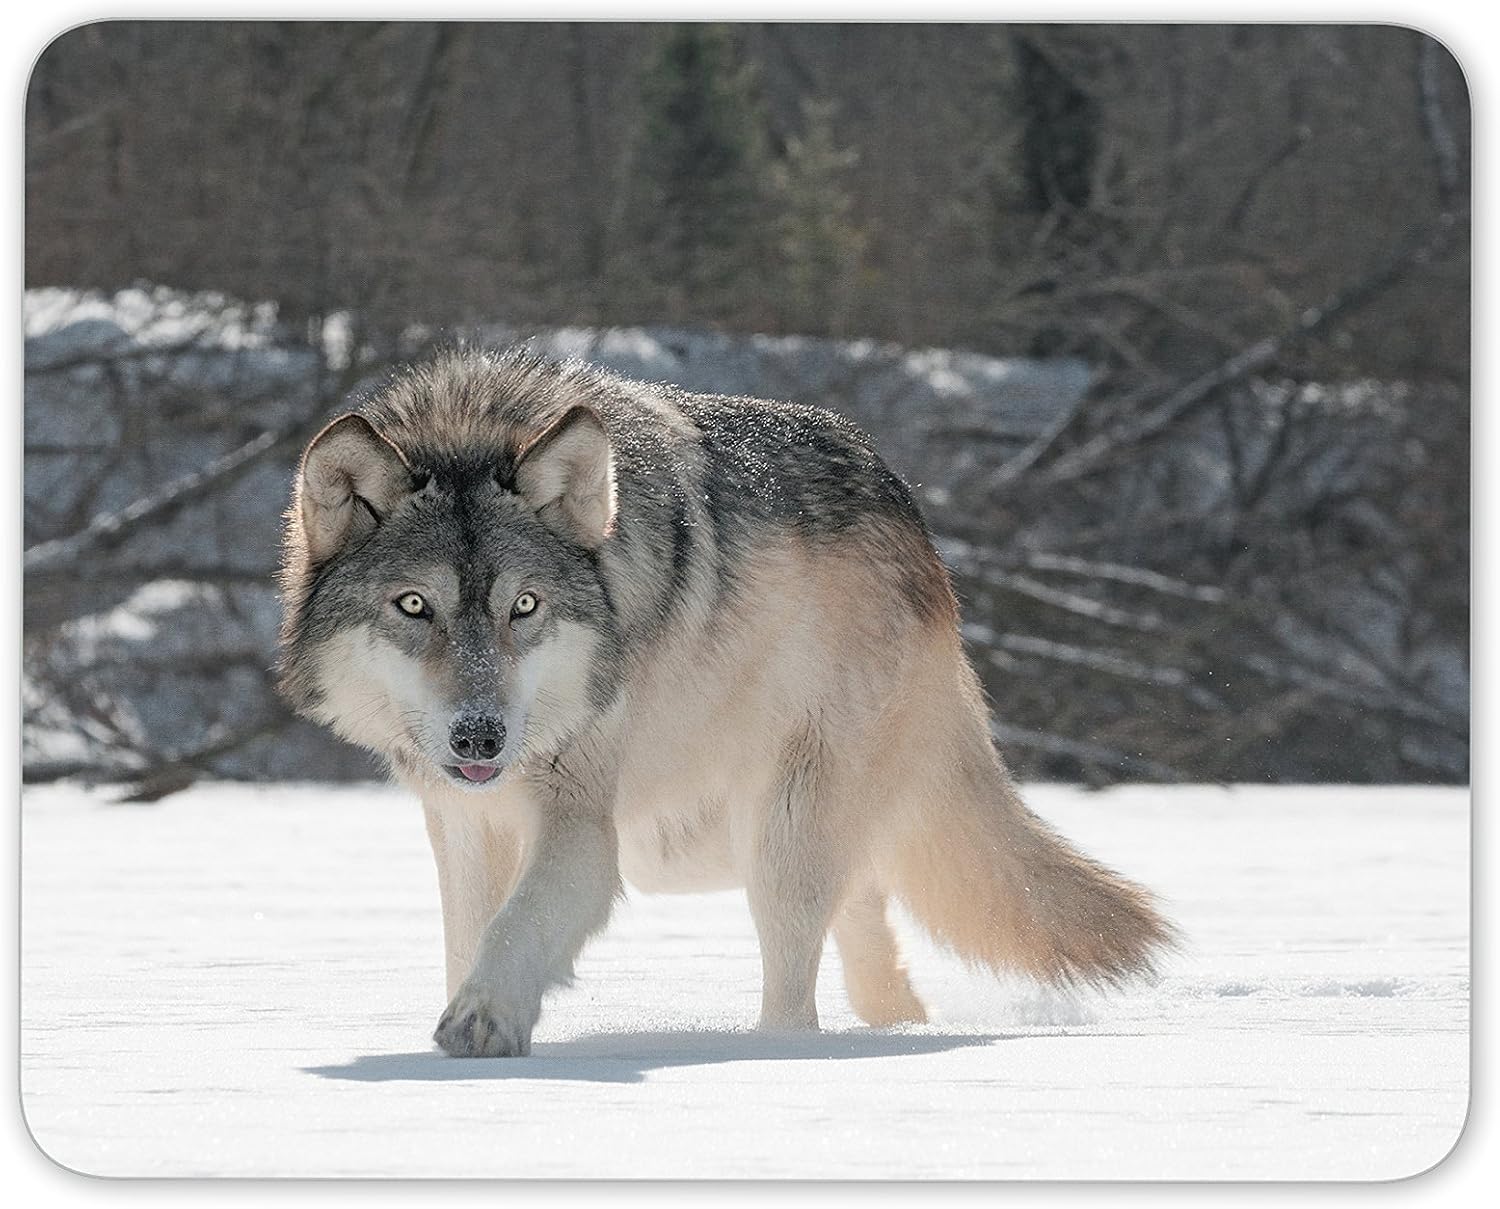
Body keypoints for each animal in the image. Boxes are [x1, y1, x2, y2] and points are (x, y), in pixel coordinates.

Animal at [277, 347, 1176, 1057]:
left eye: (524, 606)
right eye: (414, 606)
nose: (480, 738)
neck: (472, 423)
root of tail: (920, 533)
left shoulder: (581, 825)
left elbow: (516, 925)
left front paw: (483, 1019)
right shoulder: (465, 824)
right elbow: (471, 932)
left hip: (774, 836)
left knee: (798, 994)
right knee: (870, 939)